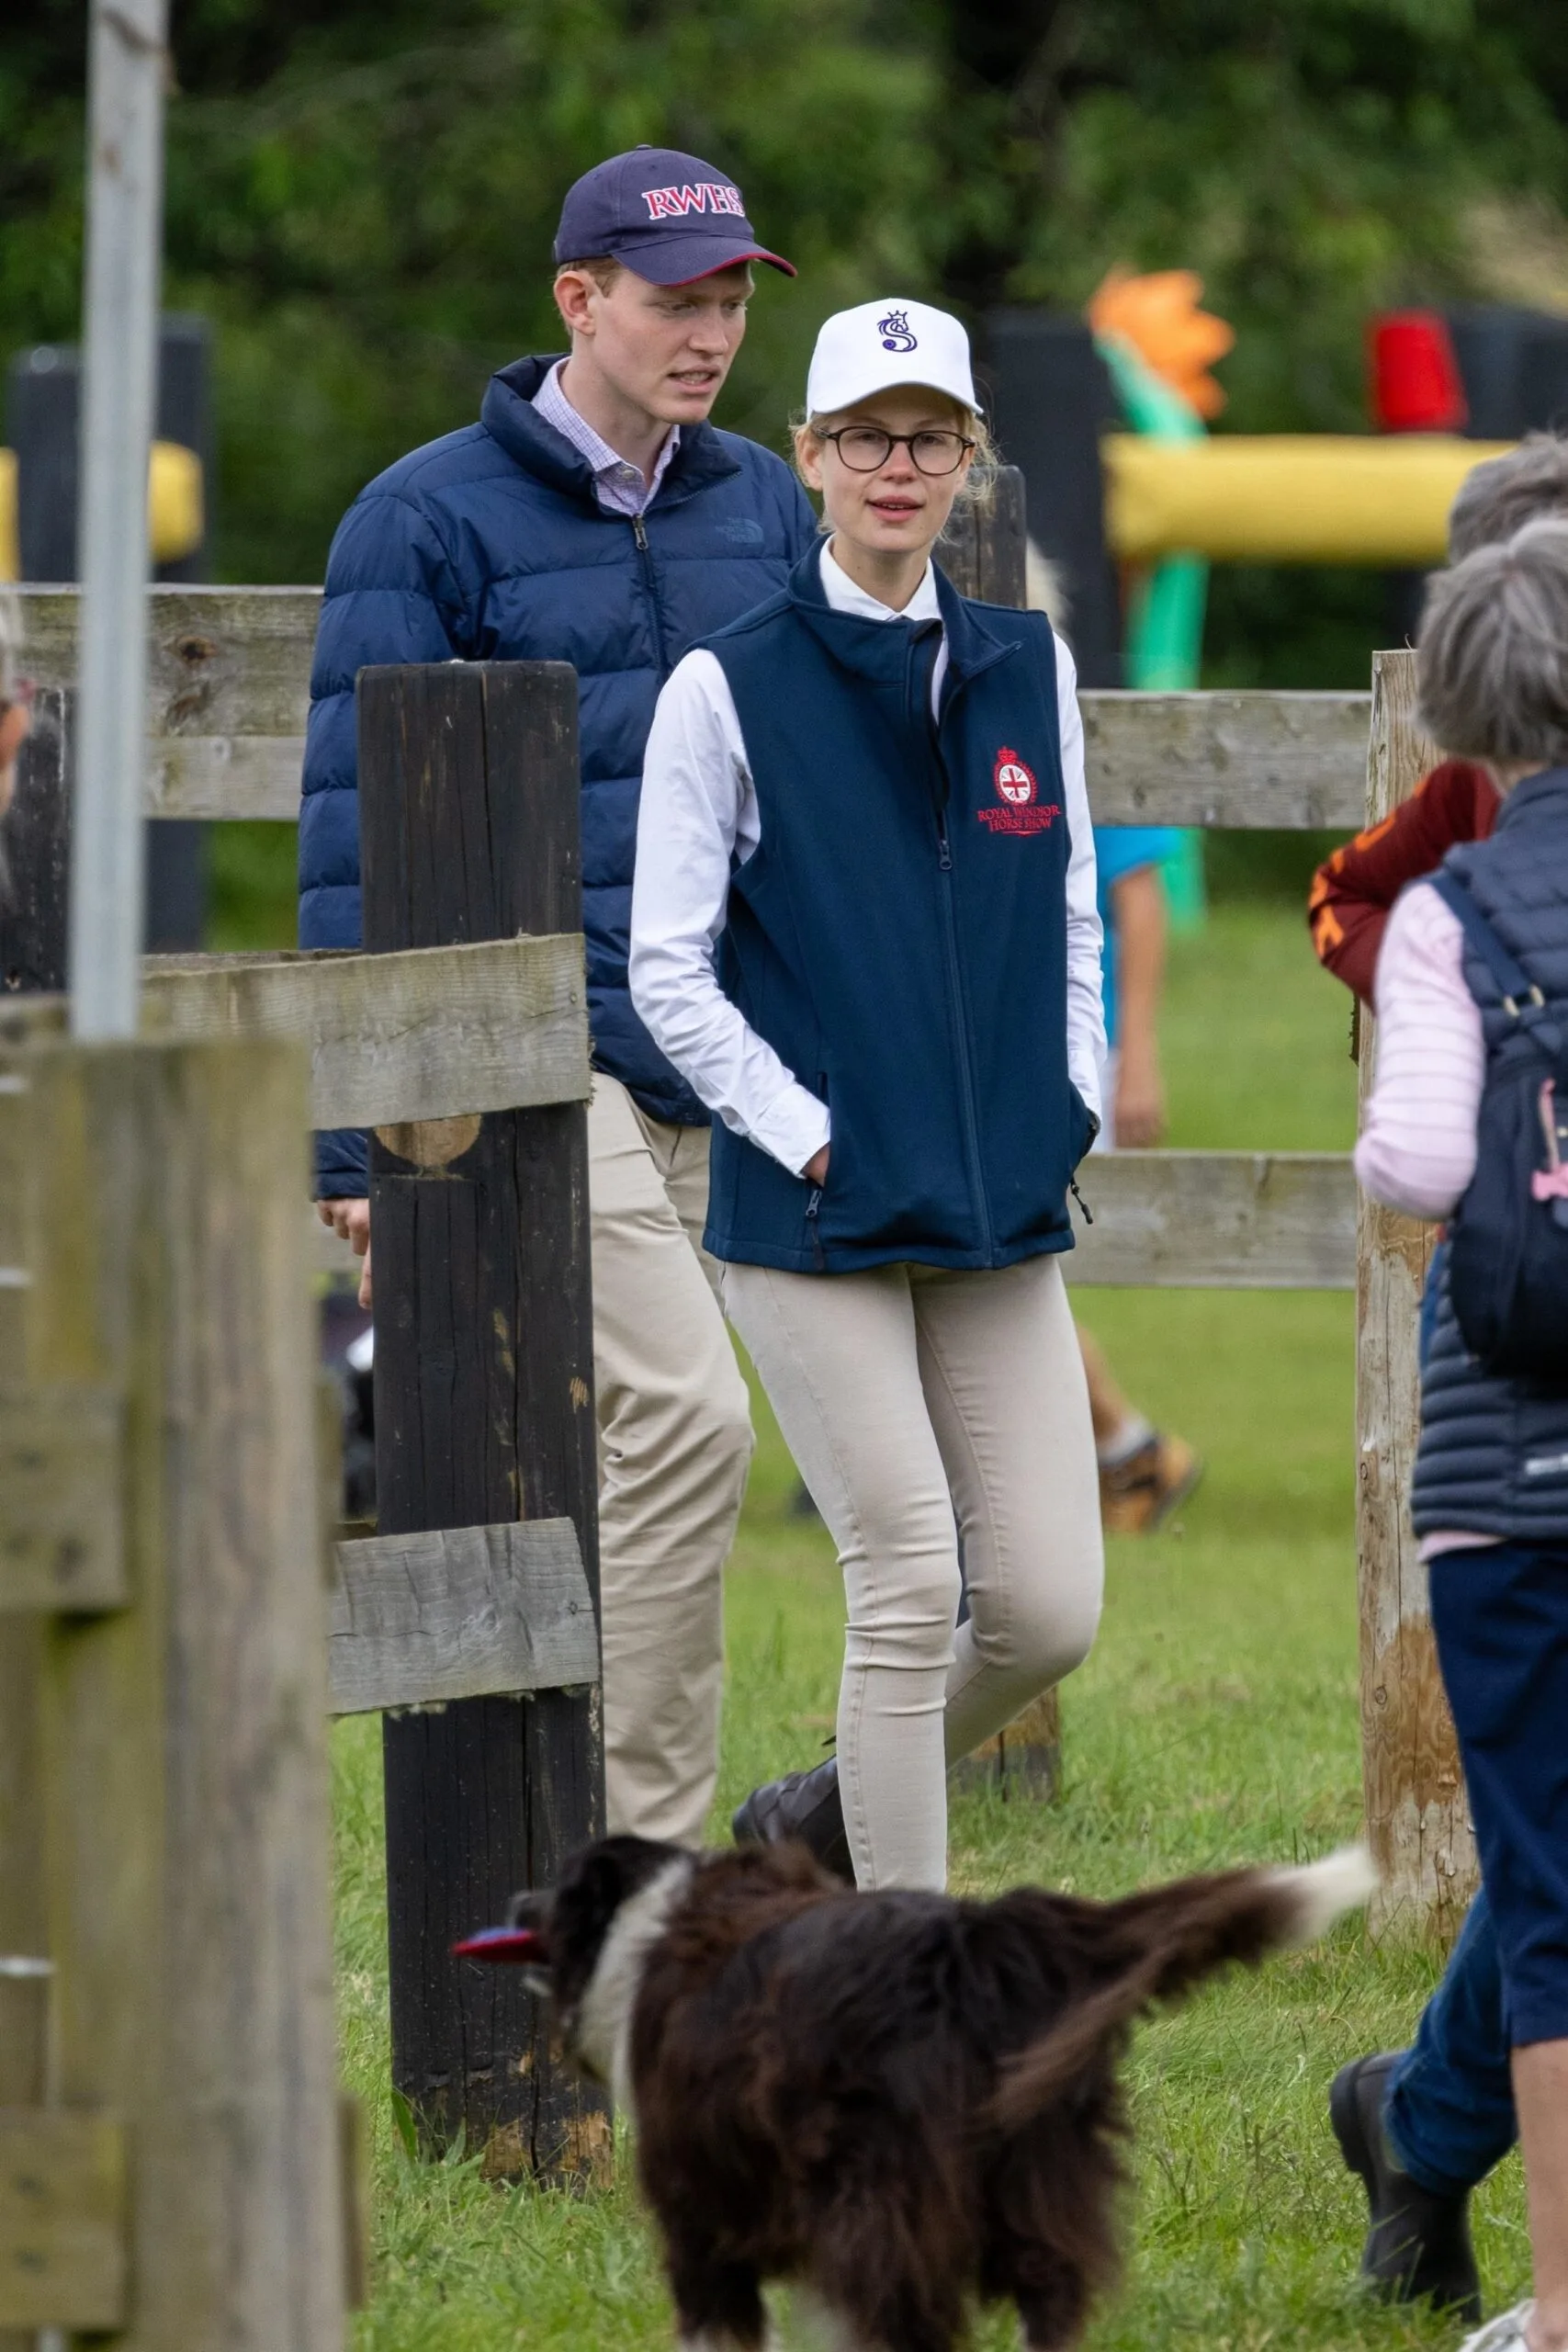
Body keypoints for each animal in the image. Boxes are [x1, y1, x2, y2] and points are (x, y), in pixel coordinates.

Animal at [486, 1834, 1372, 2352]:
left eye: (556, 1890)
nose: (513, 1900)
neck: (652, 1919)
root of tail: (980, 1938)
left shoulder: (698, 2215)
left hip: (883, 2198)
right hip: (1036, 2171)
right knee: (1048, 2308)